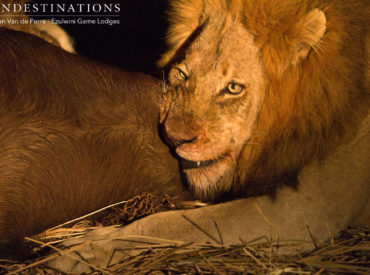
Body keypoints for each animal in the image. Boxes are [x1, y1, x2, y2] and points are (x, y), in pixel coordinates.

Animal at [48, 0, 368, 272]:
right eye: (182, 74)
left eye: (233, 88)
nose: (174, 137)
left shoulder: (307, 209)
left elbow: (171, 224)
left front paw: (84, 251)